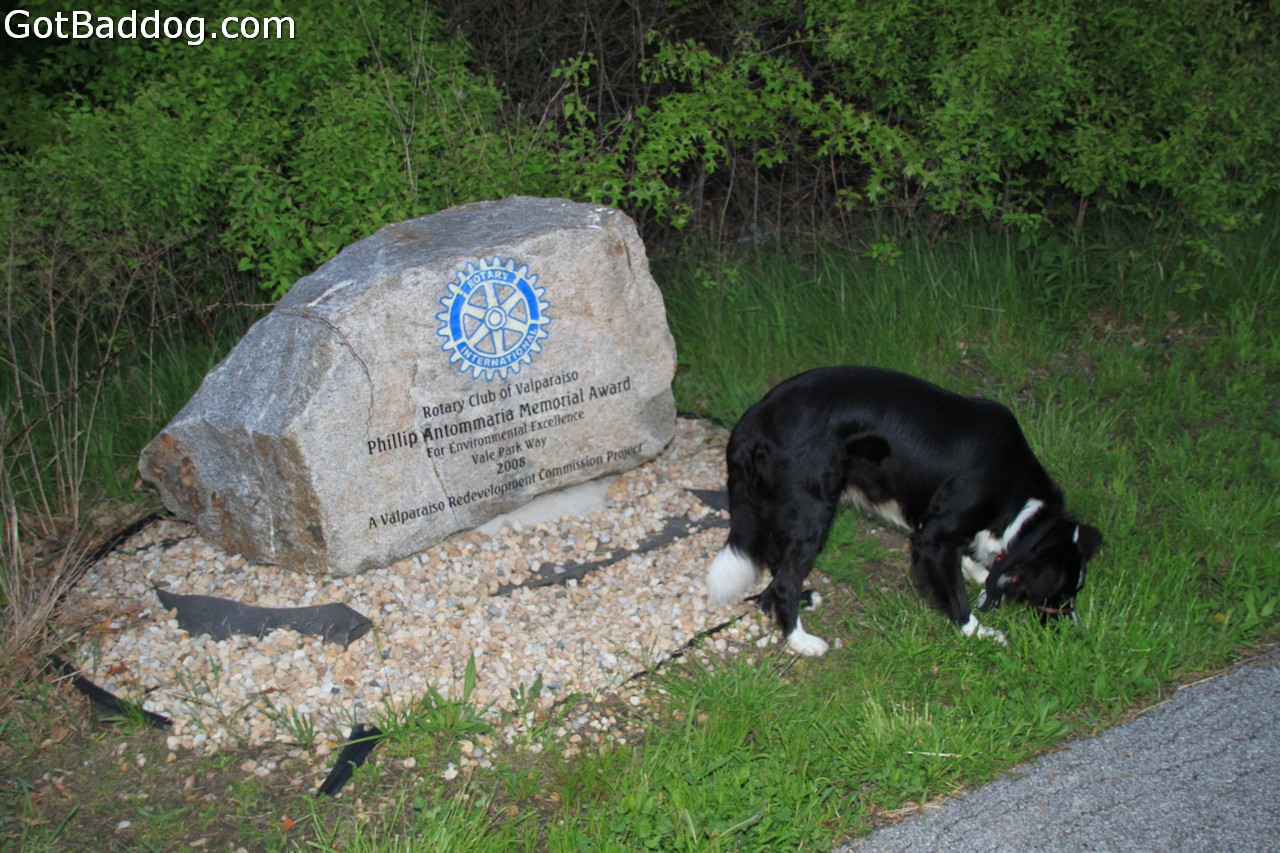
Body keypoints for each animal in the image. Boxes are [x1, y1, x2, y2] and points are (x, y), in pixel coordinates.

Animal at [707, 366, 1102, 655]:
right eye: (1062, 594)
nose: (1071, 630)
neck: (1020, 500)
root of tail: (754, 419)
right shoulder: (934, 537)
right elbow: (956, 595)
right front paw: (978, 632)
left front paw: (979, 570)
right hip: (813, 511)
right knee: (787, 579)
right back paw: (801, 641)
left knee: (777, 567)